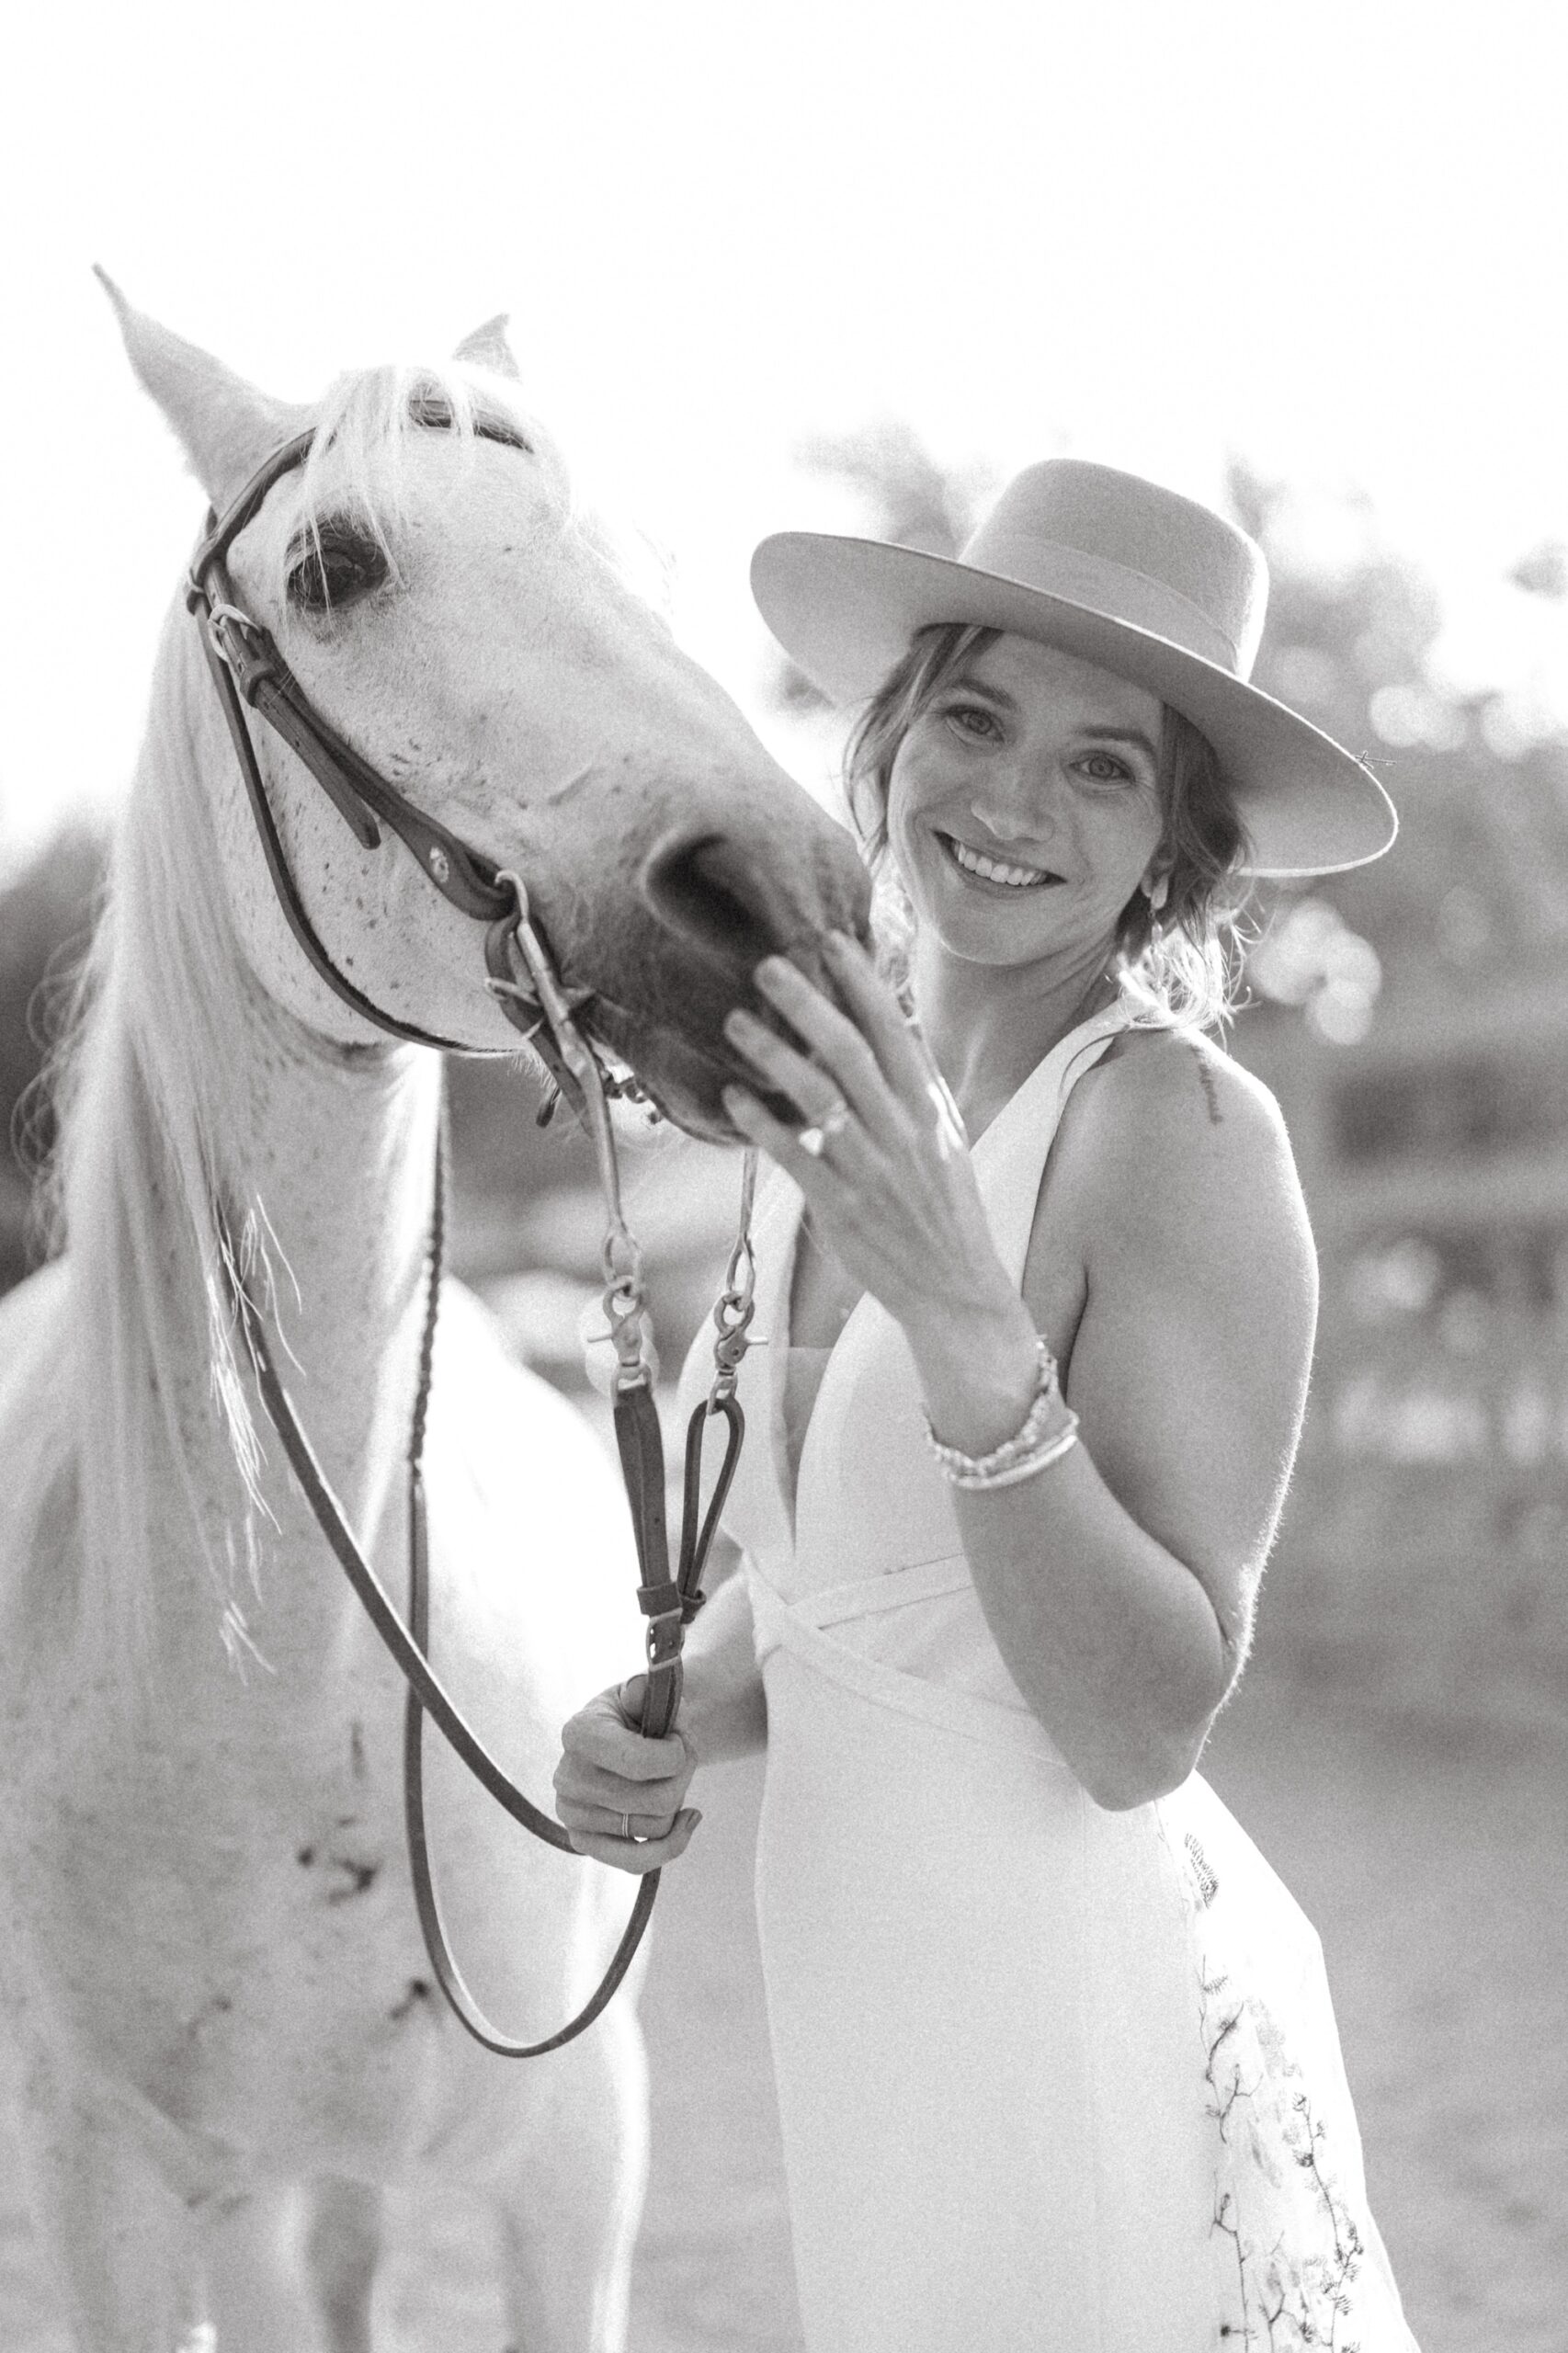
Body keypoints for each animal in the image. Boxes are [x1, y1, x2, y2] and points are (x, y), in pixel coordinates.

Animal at [0, 294, 861, 2353]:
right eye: (336, 566)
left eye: (640, 556)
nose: (792, 896)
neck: (278, 1680)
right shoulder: (110, 2203)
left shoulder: (575, 2172)